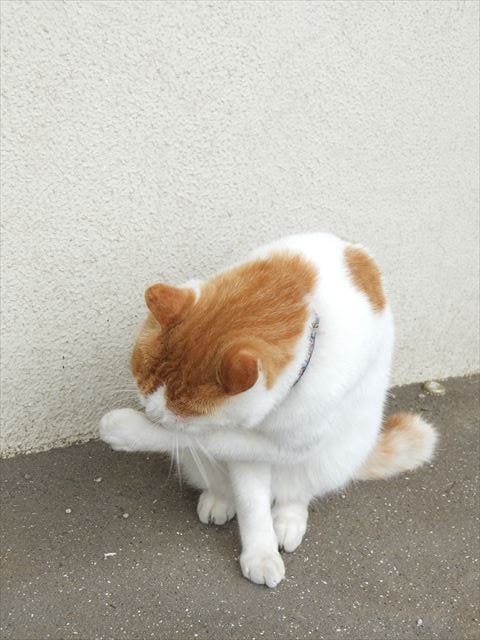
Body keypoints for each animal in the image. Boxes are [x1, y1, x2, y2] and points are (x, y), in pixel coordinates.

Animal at [101, 232, 438, 588]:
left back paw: (288, 519)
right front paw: (260, 552)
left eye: (177, 416)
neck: (304, 298)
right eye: (139, 377)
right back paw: (220, 499)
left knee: (297, 491)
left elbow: (203, 439)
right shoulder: (248, 454)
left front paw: (126, 428)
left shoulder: (282, 444)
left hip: (331, 459)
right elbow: (250, 501)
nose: (151, 414)